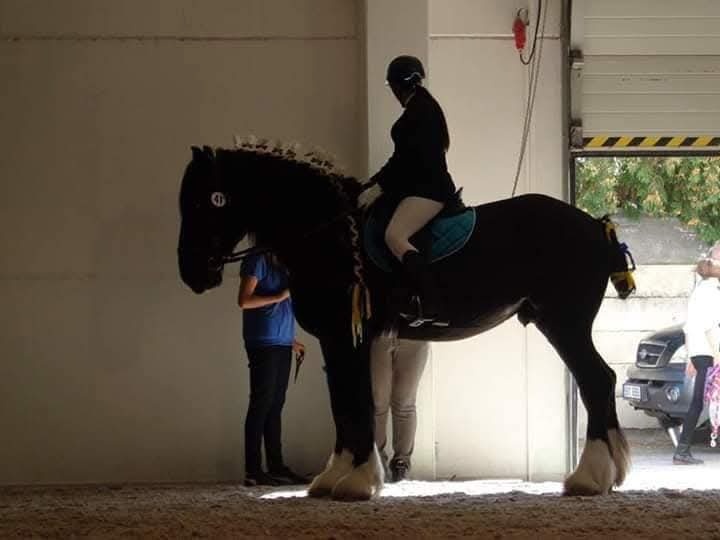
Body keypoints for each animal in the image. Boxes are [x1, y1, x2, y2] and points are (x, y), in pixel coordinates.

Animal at [177, 140, 635, 501]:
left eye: (205, 201)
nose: (192, 275)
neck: (330, 235)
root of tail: (594, 226)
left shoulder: (350, 337)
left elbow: (358, 401)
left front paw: (357, 481)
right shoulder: (335, 340)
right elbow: (342, 402)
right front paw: (334, 477)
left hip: (565, 324)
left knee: (596, 380)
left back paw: (589, 478)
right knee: (599, 381)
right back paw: (607, 475)